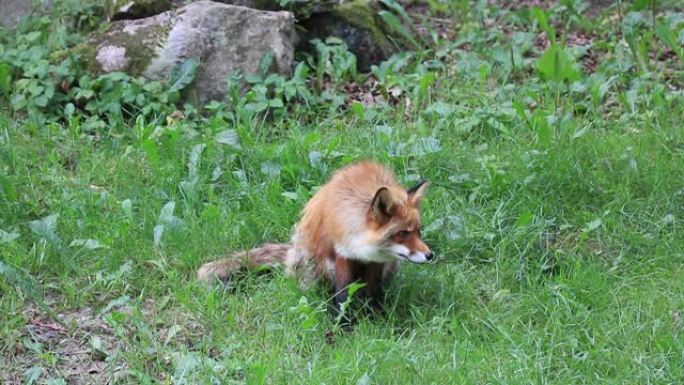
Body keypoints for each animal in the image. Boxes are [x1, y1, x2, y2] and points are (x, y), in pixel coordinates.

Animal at [198, 160, 432, 314]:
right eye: (402, 233)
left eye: (418, 231)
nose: (430, 255)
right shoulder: (341, 252)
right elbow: (342, 296)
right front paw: (342, 325)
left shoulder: (377, 262)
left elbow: (373, 294)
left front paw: (376, 317)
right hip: (315, 267)